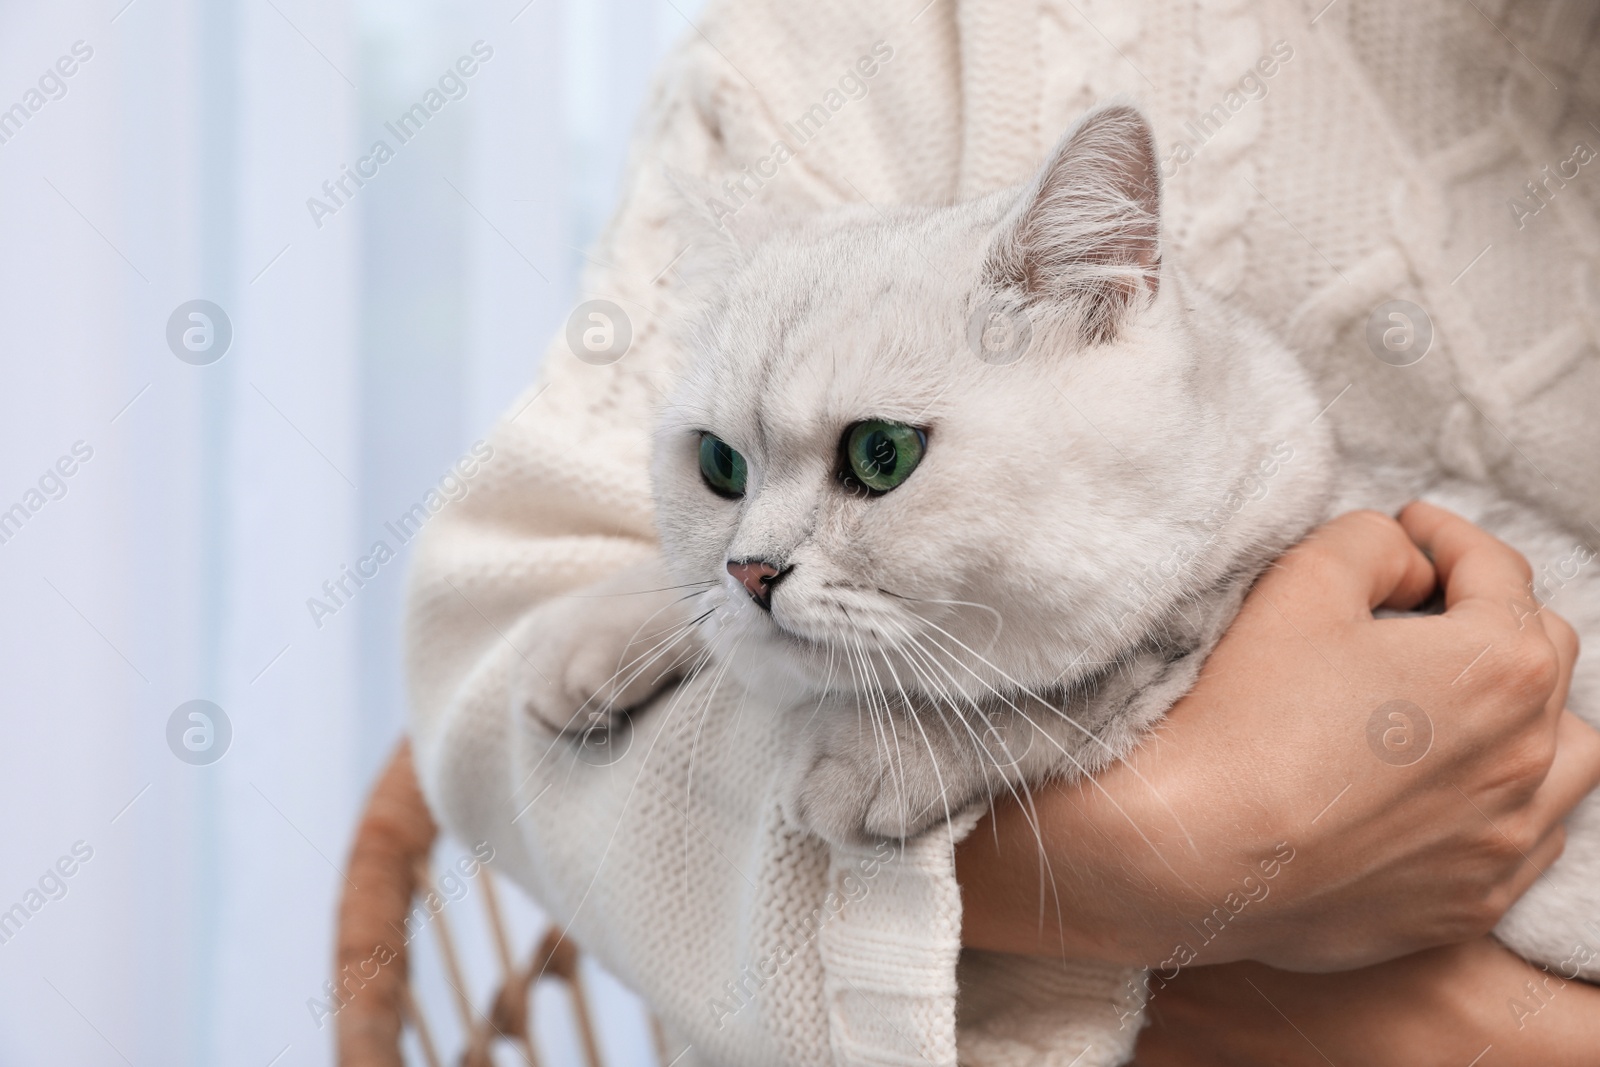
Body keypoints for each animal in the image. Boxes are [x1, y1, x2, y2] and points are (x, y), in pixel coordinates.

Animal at [521, 103, 1600, 998]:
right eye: (719, 465)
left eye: (881, 454)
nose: (752, 571)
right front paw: (593, 632)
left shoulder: (1226, 586)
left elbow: (1055, 687)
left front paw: (883, 753)